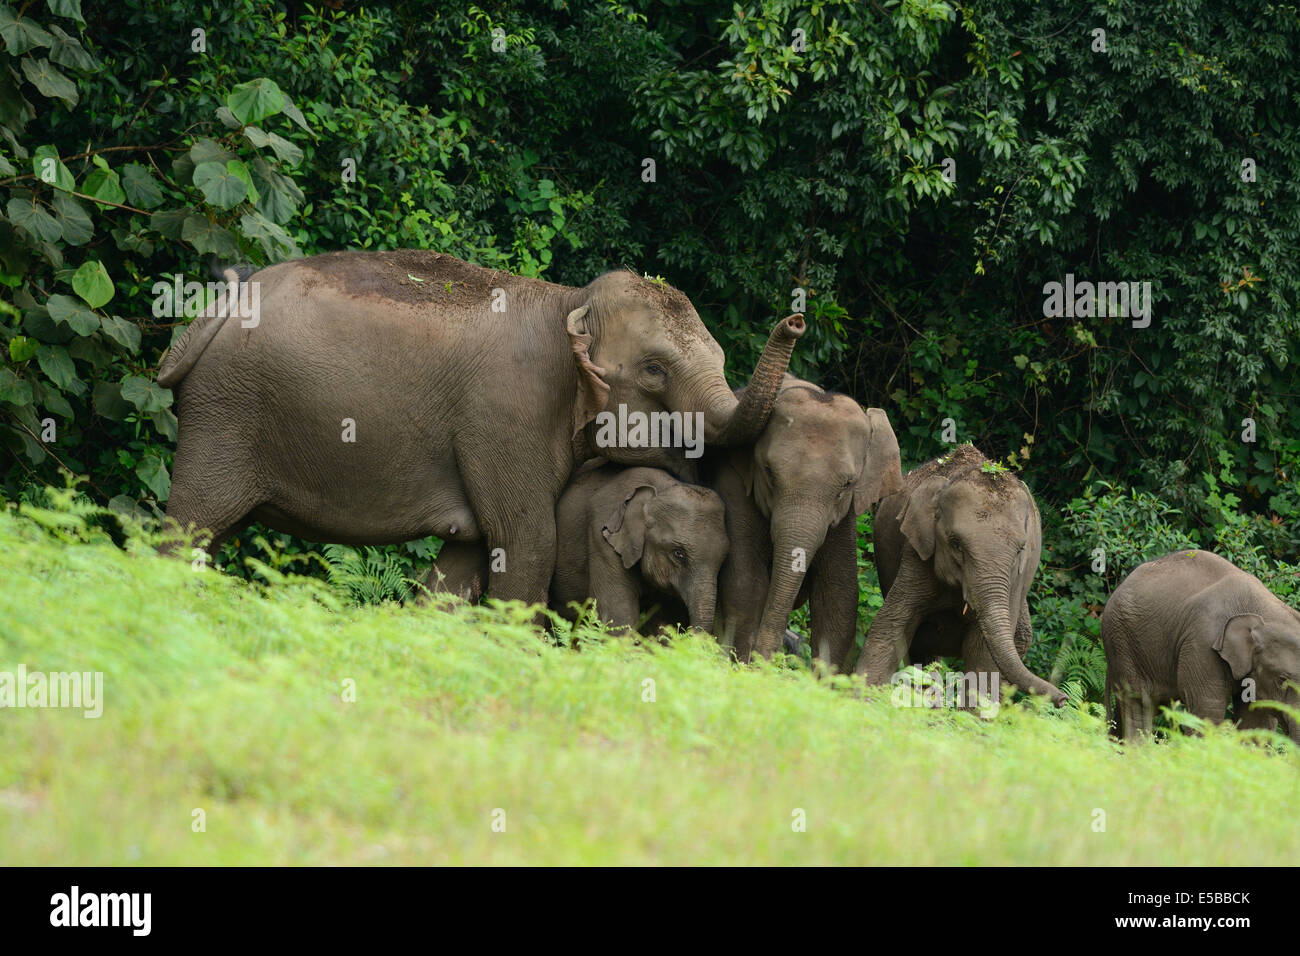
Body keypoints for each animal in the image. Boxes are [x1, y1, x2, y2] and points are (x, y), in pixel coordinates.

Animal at [158, 249, 804, 605]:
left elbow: (467, 557)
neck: (570, 301)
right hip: (226, 412)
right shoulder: (507, 415)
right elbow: (527, 541)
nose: (797, 317)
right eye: (654, 370)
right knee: (191, 525)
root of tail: (218, 305)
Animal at [550, 462, 728, 633]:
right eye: (678, 554)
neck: (658, 489)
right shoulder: (601, 538)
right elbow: (619, 615)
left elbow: (664, 622)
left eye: (723, 559)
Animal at [698, 376, 904, 670]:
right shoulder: (733, 485)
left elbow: (839, 596)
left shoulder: (844, 518)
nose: (769, 661)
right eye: (768, 471)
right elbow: (746, 583)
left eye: (847, 484)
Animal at [854, 444, 1067, 706]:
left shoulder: (1016, 579)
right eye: (955, 543)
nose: (1063, 699)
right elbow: (892, 624)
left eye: (1020, 549)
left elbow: (982, 653)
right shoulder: (917, 555)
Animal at [1102, 549, 1300, 742]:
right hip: (1122, 641)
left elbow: (1256, 721)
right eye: (1282, 679)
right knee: (1138, 704)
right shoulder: (1203, 643)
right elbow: (1207, 709)